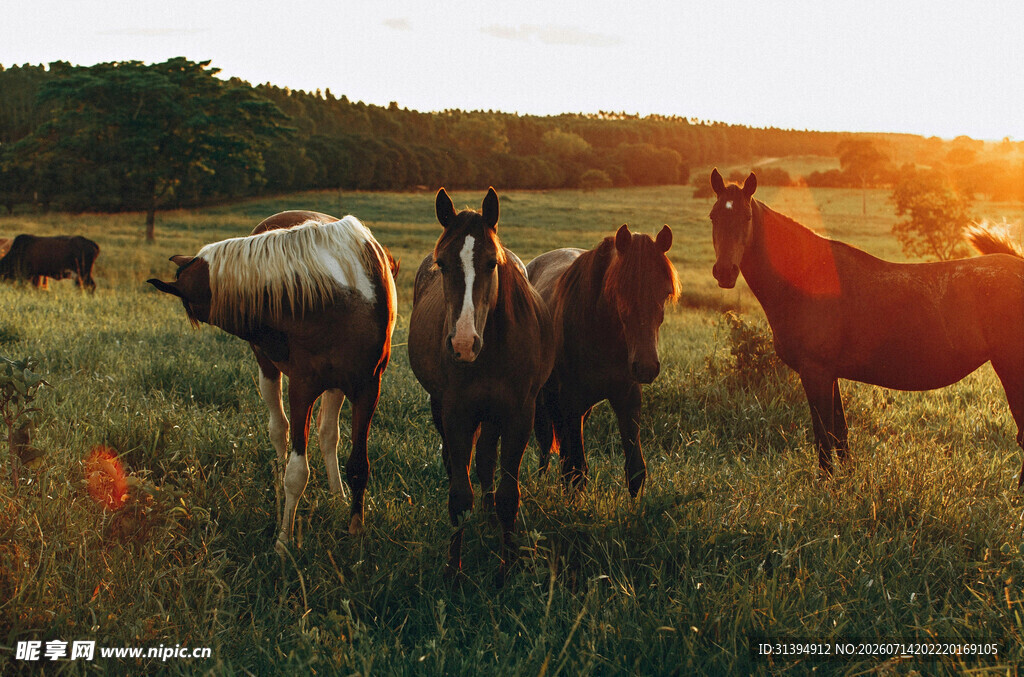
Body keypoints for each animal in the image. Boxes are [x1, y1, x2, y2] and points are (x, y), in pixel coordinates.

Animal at [148, 210, 398, 549]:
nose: (268, 339)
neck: (341, 294)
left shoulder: (367, 389)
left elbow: (359, 465)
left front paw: (355, 531)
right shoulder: (301, 388)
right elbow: (296, 471)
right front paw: (283, 540)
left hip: (335, 385)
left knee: (327, 434)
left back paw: (336, 495)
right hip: (270, 372)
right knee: (279, 432)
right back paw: (281, 495)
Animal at [408, 187, 554, 584]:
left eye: (491, 263)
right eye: (442, 264)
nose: (462, 344)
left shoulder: (519, 415)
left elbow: (507, 495)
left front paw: (507, 568)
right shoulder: (457, 413)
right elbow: (459, 495)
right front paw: (452, 570)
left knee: (487, 458)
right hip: (443, 407)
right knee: (457, 461)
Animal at [527, 225, 679, 496]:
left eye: (665, 292)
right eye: (620, 290)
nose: (646, 367)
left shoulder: (627, 399)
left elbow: (635, 470)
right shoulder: (571, 401)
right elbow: (577, 471)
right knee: (546, 445)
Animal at [709, 168, 1024, 483]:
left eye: (747, 217)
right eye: (713, 216)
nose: (724, 272)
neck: (809, 278)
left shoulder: (815, 372)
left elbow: (823, 434)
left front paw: (827, 483)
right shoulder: (830, 374)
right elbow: (840, 432)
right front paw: (847, 480)